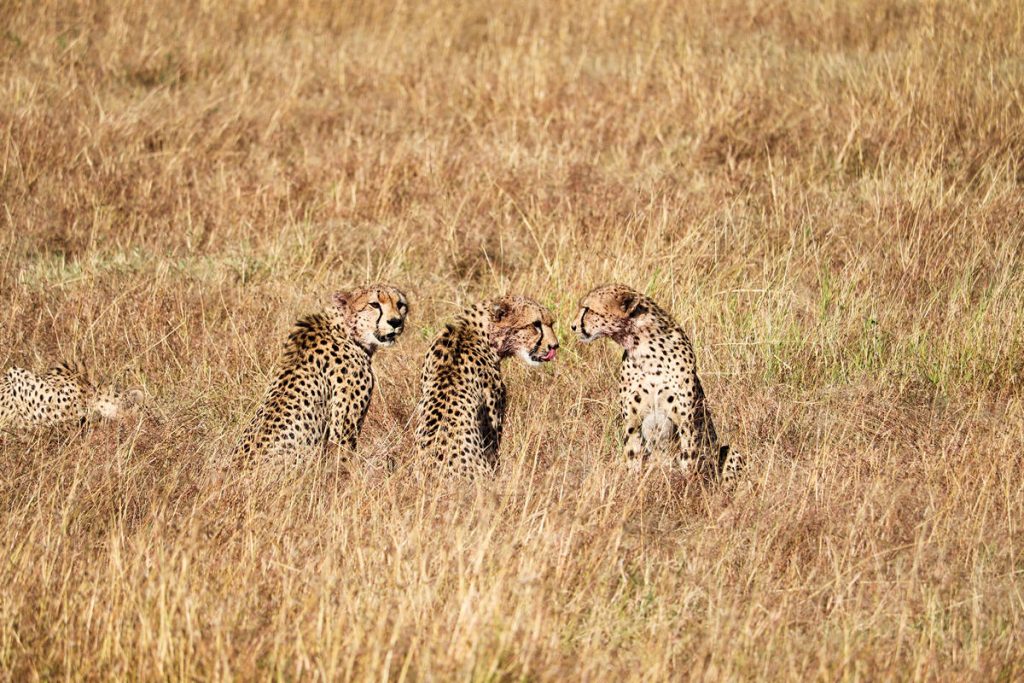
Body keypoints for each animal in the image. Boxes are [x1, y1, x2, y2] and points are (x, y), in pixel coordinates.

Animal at [569, 286, 745, 483]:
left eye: (588, 309)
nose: (573, 326)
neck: (644, 347)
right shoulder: (632, 421)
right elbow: (633, 456)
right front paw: (634, 482)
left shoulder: (686, 421)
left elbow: (689, 459)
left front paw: (687, 486)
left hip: (729, 451)